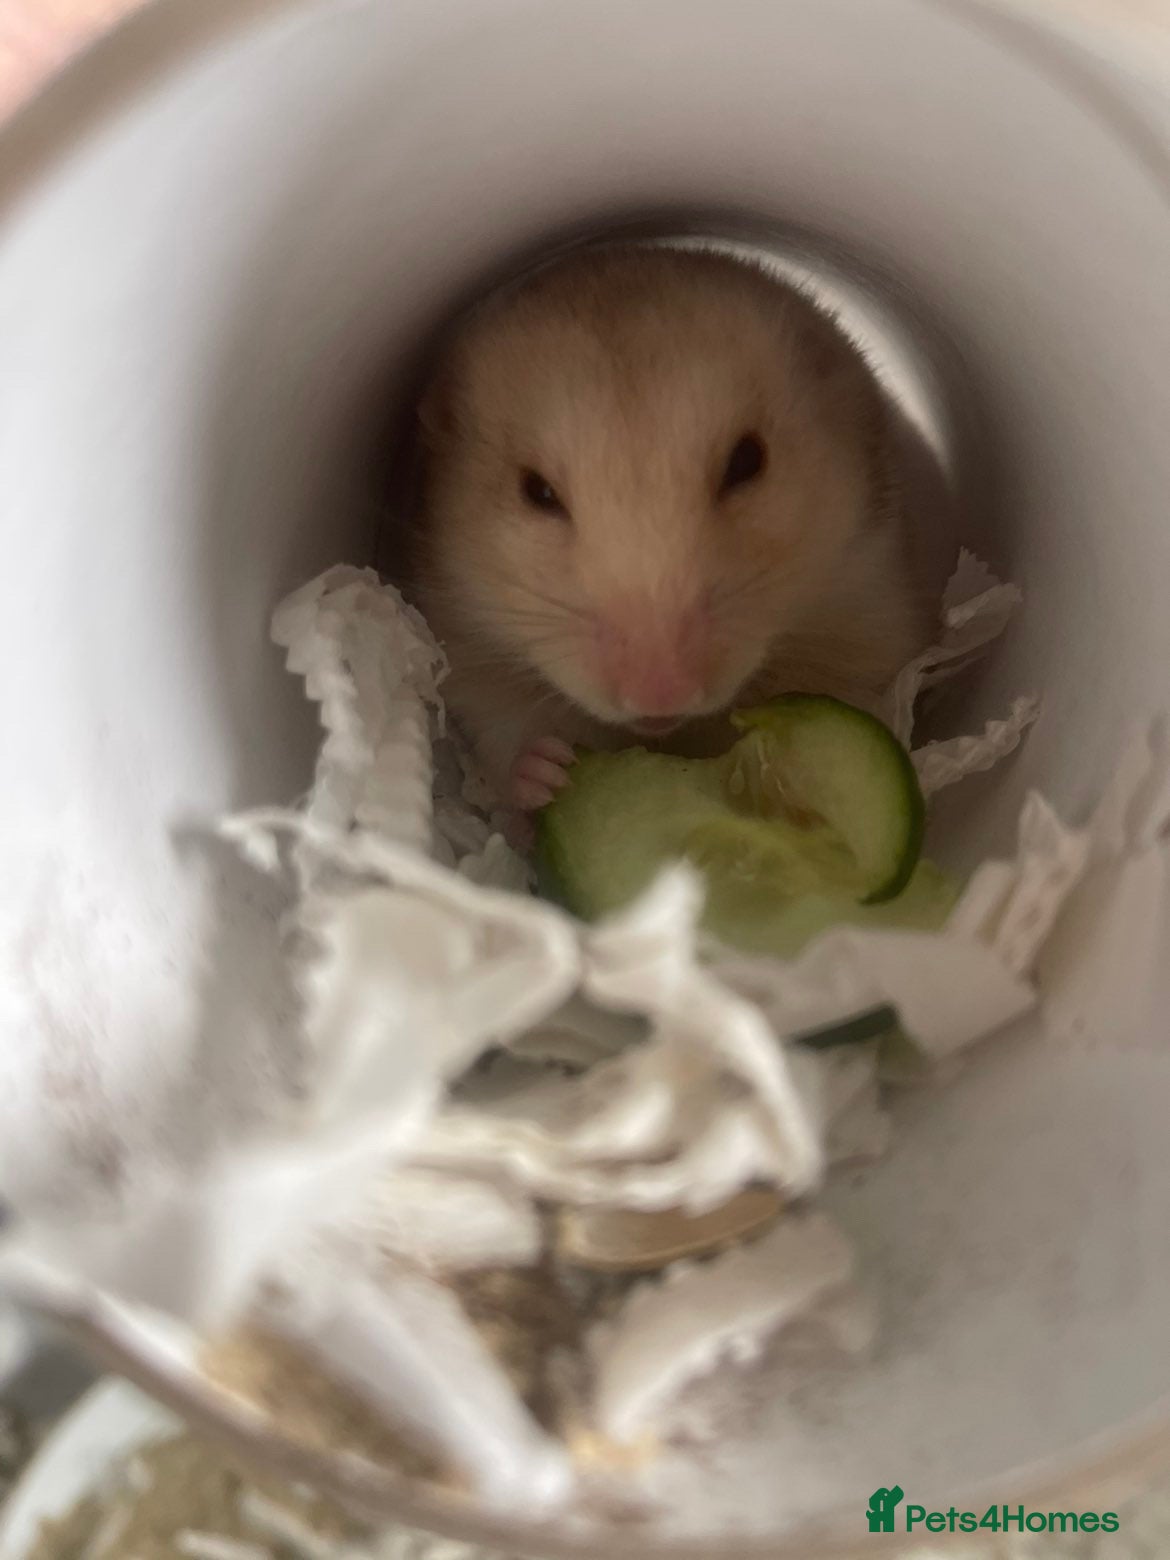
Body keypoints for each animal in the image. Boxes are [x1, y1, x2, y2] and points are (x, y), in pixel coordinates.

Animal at [406, 244, 938, 812]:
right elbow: (506, 732)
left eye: (747, 462)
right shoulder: (470, 656)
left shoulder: (870, 611)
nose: (661, 695)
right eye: (537, 491)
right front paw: (550, 771)